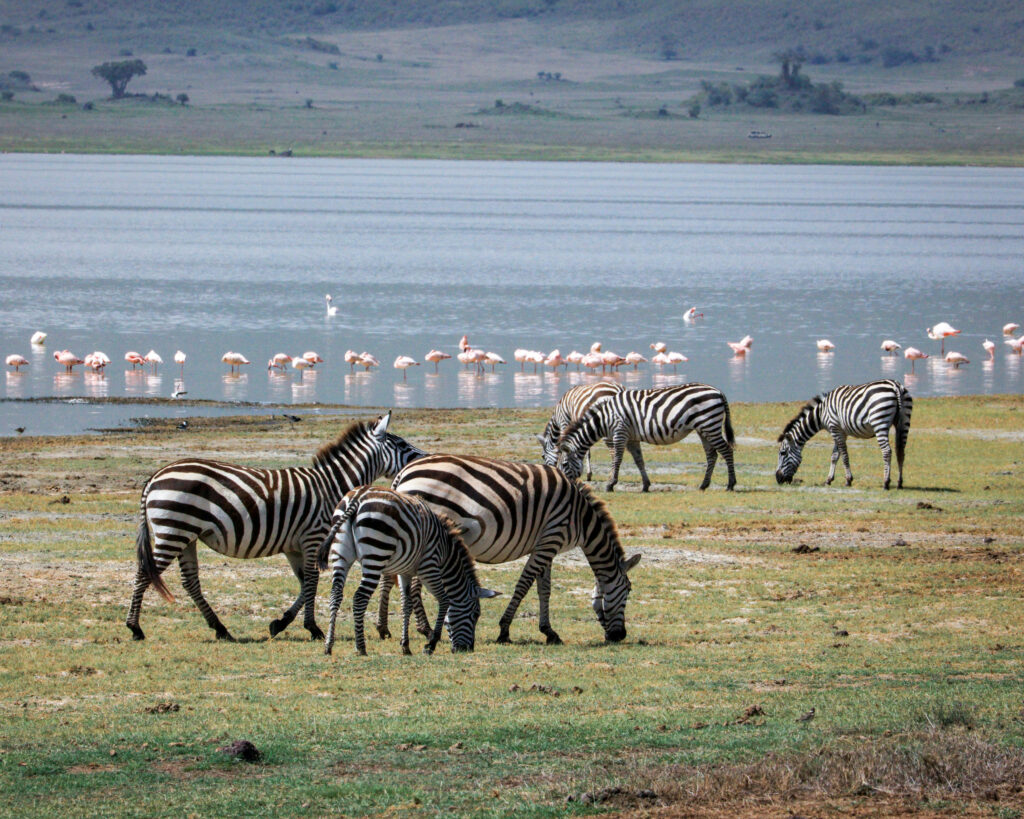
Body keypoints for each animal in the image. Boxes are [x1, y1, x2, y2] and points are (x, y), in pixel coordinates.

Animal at [125, 412, 426, 642]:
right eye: (402, 445)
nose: (423, 458)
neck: (330, 485)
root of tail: (155, 476)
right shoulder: (313, 538)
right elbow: (312, 582)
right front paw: (313, 628)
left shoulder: (294, 547)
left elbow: (305, 584)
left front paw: (280, 623)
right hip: (173, 531)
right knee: (144, 573)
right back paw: (135, 628)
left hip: (186, 535)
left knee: (190, 581)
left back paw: (221, 629)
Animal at [316, 486, 499, 656]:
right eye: (475, 615)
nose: (467, 649)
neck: (446, 553)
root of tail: (358, 497)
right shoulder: (429, 567)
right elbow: (444, 600)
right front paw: (431, 644)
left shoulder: (405, 571)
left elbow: (406, 605)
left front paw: (405, 646)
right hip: (376, 554)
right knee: (360, 598)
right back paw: (361, 647)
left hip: (341, 555)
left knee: (336, 595)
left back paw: (328, 645)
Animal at [382, 455, 640, 645]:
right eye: (628, 590)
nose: (620, 636)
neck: (581, 518)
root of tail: (404, 472)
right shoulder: (551, 538)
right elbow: (524, 585)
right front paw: (504, 630)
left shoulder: (546, 544)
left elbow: (544, 589)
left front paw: (548, 631)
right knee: (415, 584)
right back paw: (425, 629)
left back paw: (389, 628)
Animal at [556, 384, 736, 492]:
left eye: (564, 464)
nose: (565, 486)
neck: (604, 418)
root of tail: (718, 391)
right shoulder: (632, 438)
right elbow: (639, 460)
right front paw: (645, 485)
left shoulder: (620, 432)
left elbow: (617, 459)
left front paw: (610, 484)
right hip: (703, 429)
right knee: (712, 454)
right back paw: (704, 485)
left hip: (710, 425)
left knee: (726, 450)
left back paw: (730, 484)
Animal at [776, 379, 912, 490]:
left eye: (783, 453)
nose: (778, 479)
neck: (821, 413)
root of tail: (895, 386)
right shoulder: (840, 431)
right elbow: (835, 456)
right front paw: (828, 480)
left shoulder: (835, 429)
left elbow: (844, 456)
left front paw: (848, 480)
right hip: (903, 422)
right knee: (901, 452)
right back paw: (899, 483)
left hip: (880, 422)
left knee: (887, 451)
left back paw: (886, 482)